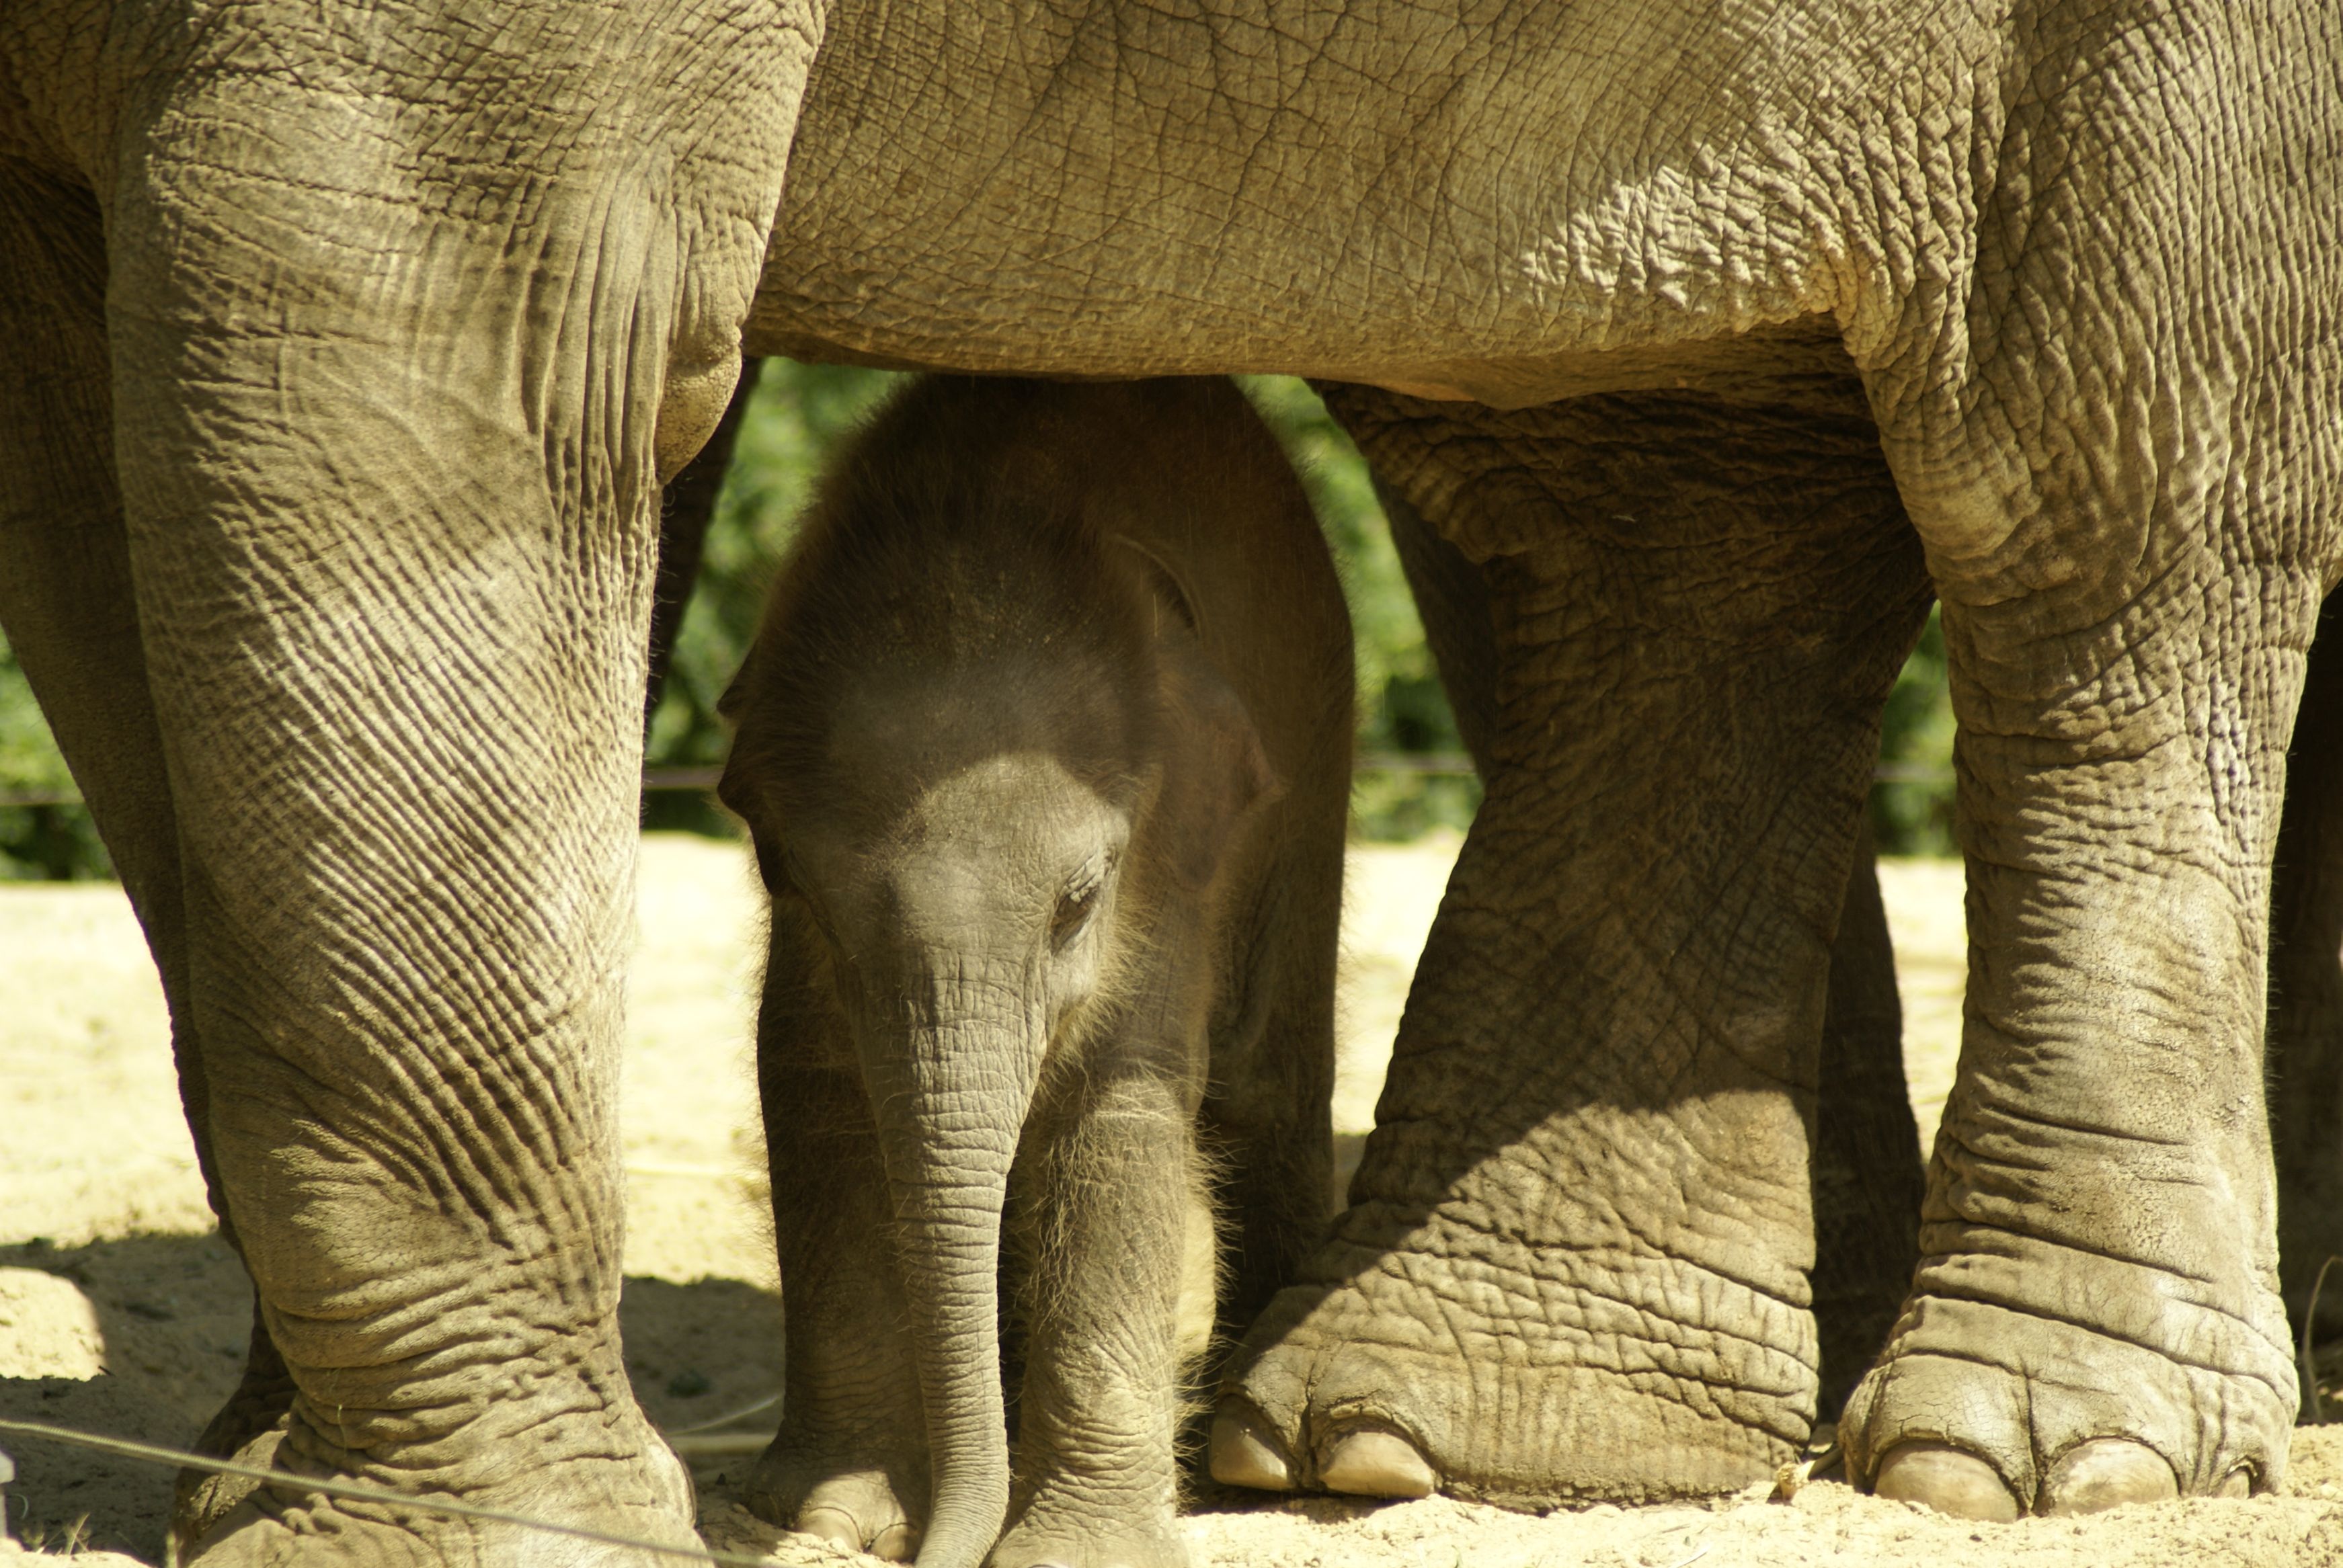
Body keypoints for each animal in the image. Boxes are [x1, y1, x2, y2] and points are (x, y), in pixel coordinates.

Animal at [712, 374, 1359, 1565]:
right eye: (787, 873)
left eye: (1079, 902)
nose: (938, 1546)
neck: (978, 505)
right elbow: (816, 1094)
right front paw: (835, 1515)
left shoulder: (1168, 865)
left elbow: (1118, 1116)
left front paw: (1072, 1548)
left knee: (1265, 1076)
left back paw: (1247, 1452)